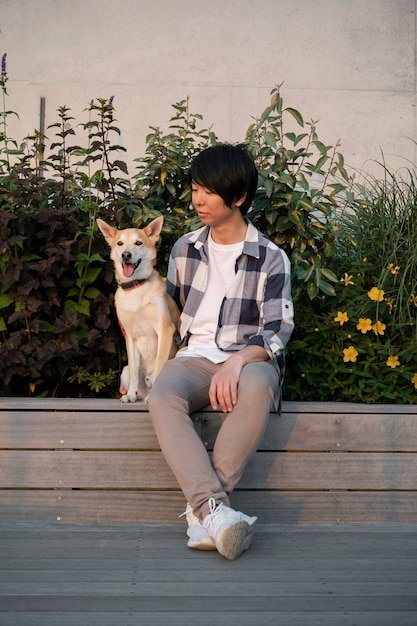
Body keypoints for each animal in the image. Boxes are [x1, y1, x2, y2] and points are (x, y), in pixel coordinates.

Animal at [97, 217, 179, 402]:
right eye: (120, 243)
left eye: (138, 243)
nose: (126, 255)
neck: (136, 286)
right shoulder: (130, 336)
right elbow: (135, 370)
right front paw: (129, 395)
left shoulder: (165, 330)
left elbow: (159, 365)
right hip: (124, 372)